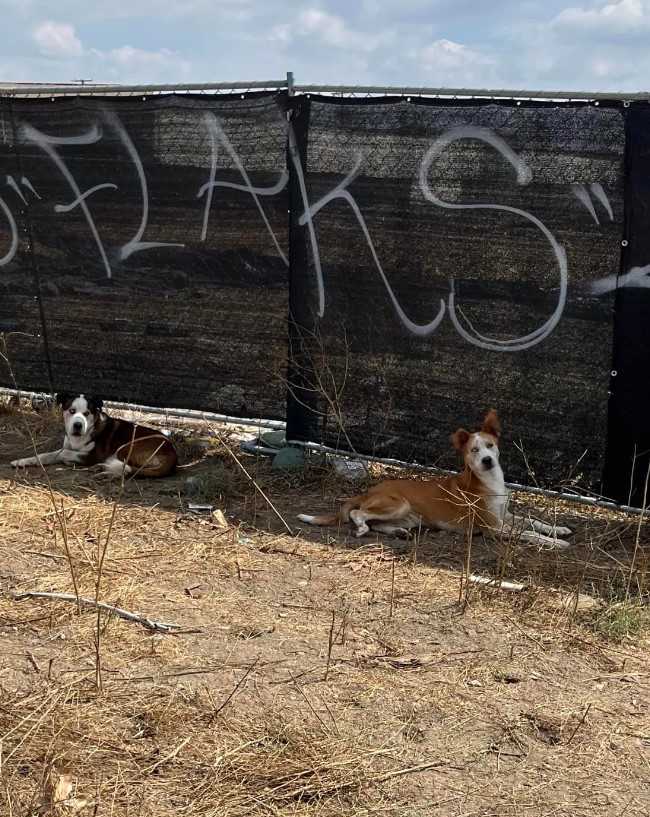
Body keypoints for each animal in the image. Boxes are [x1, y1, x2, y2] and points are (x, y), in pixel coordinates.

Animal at [10, 390, 177, 474]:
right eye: (71, 411)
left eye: (87, 413)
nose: (77, 425)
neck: (79, 437)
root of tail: (172, 453)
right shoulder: (68, 447)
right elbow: (45, 455)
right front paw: (21, 461)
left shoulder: (93, 455)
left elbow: (64, 453)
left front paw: (69, 461)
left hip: (127, 447)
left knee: (126, 467)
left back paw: (104, 468)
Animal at [296, 408, 568, 548]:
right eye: (474, 450)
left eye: (490, 445)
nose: (487, 460)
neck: (489, 481)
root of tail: (368, 491)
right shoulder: (494, 526)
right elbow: (529, 533)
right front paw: (555, 543)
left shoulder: (505, 514)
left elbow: (532, 521)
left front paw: (559, 529)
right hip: (398, 504)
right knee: (357, 514)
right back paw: (362, 528)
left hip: (408, 517)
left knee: (378, 524)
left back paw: (398, 533)